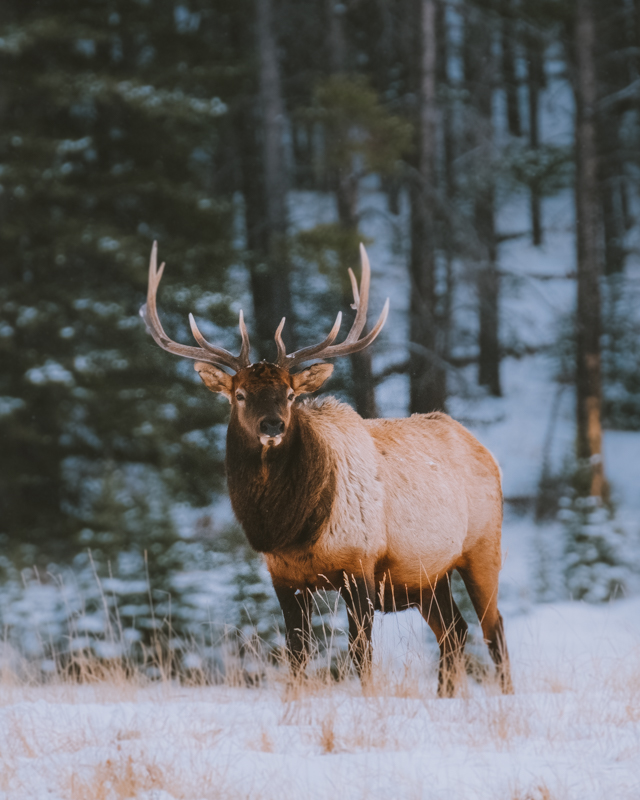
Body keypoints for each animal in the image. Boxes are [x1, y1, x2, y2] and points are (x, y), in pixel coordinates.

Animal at [140, 242, 510, 692]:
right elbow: (297, 655)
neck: (293, 529)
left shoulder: (360, 566)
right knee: (455, 631)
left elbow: (360, 653)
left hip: (482, 548)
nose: (272, 425)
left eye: (289, 394)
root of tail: (487, 452)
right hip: (427, 575)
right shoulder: (284, 577)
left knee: (493, 630)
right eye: (240, 394)